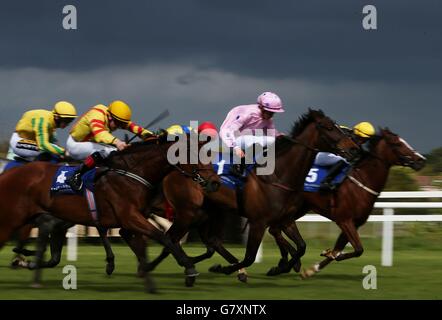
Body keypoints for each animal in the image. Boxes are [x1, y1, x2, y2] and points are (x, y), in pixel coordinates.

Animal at [0, 136, 215, 288]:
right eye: (195, 157)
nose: (214, 183)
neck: (132, 173)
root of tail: (8, 173)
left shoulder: (130, 221)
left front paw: (144, 269)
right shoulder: (130, 217)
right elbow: (163, 237)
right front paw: (189, 269)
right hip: (11, 220)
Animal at [264, 127, 426, 278]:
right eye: (397, 143)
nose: (421, 160)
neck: (362, 181)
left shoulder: (354, 223)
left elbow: (341, 249)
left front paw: (313, 268)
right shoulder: (344, 220)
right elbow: (358, 249)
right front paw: (328, 255)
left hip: (298, 208)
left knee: (277, 229)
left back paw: (286, 264)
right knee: (276, 229)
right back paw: (288, 263)